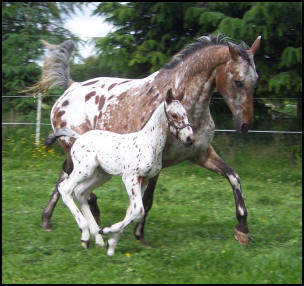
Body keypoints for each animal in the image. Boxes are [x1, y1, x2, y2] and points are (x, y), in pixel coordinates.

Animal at [45, 88, 192, 256]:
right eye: (174, 115)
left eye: (186, 113)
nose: (190, 138)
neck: (149, 143)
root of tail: (79, 137)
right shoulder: (130, 177)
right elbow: (138, 210)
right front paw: (108, 231)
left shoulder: (144, 180)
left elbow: (133, 211)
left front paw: (111, 243)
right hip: (84, 170)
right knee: (65, 188)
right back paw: (85, 234)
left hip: (101, 175)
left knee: (80, 192)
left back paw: (97, 238)